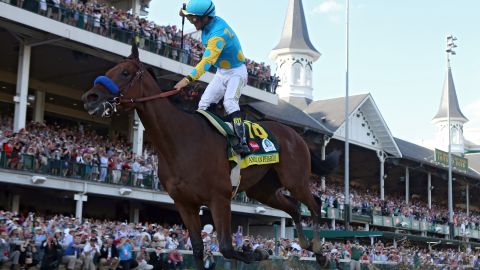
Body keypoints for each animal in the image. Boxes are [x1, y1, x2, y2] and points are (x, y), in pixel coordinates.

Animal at [82, 44, 338, 270]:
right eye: (109, 70)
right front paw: (256, 251)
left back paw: (318, 249)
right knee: (295, 208)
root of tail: (295, 135)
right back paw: (311, 247)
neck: (179, 140)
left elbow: (226, 247)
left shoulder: (219, 198)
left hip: (294, 180)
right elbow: (197, 248)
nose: (90, 97)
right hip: (263, 190)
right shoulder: (185, 203)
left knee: (315, 203)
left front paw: (258, 251)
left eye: (125, 72)